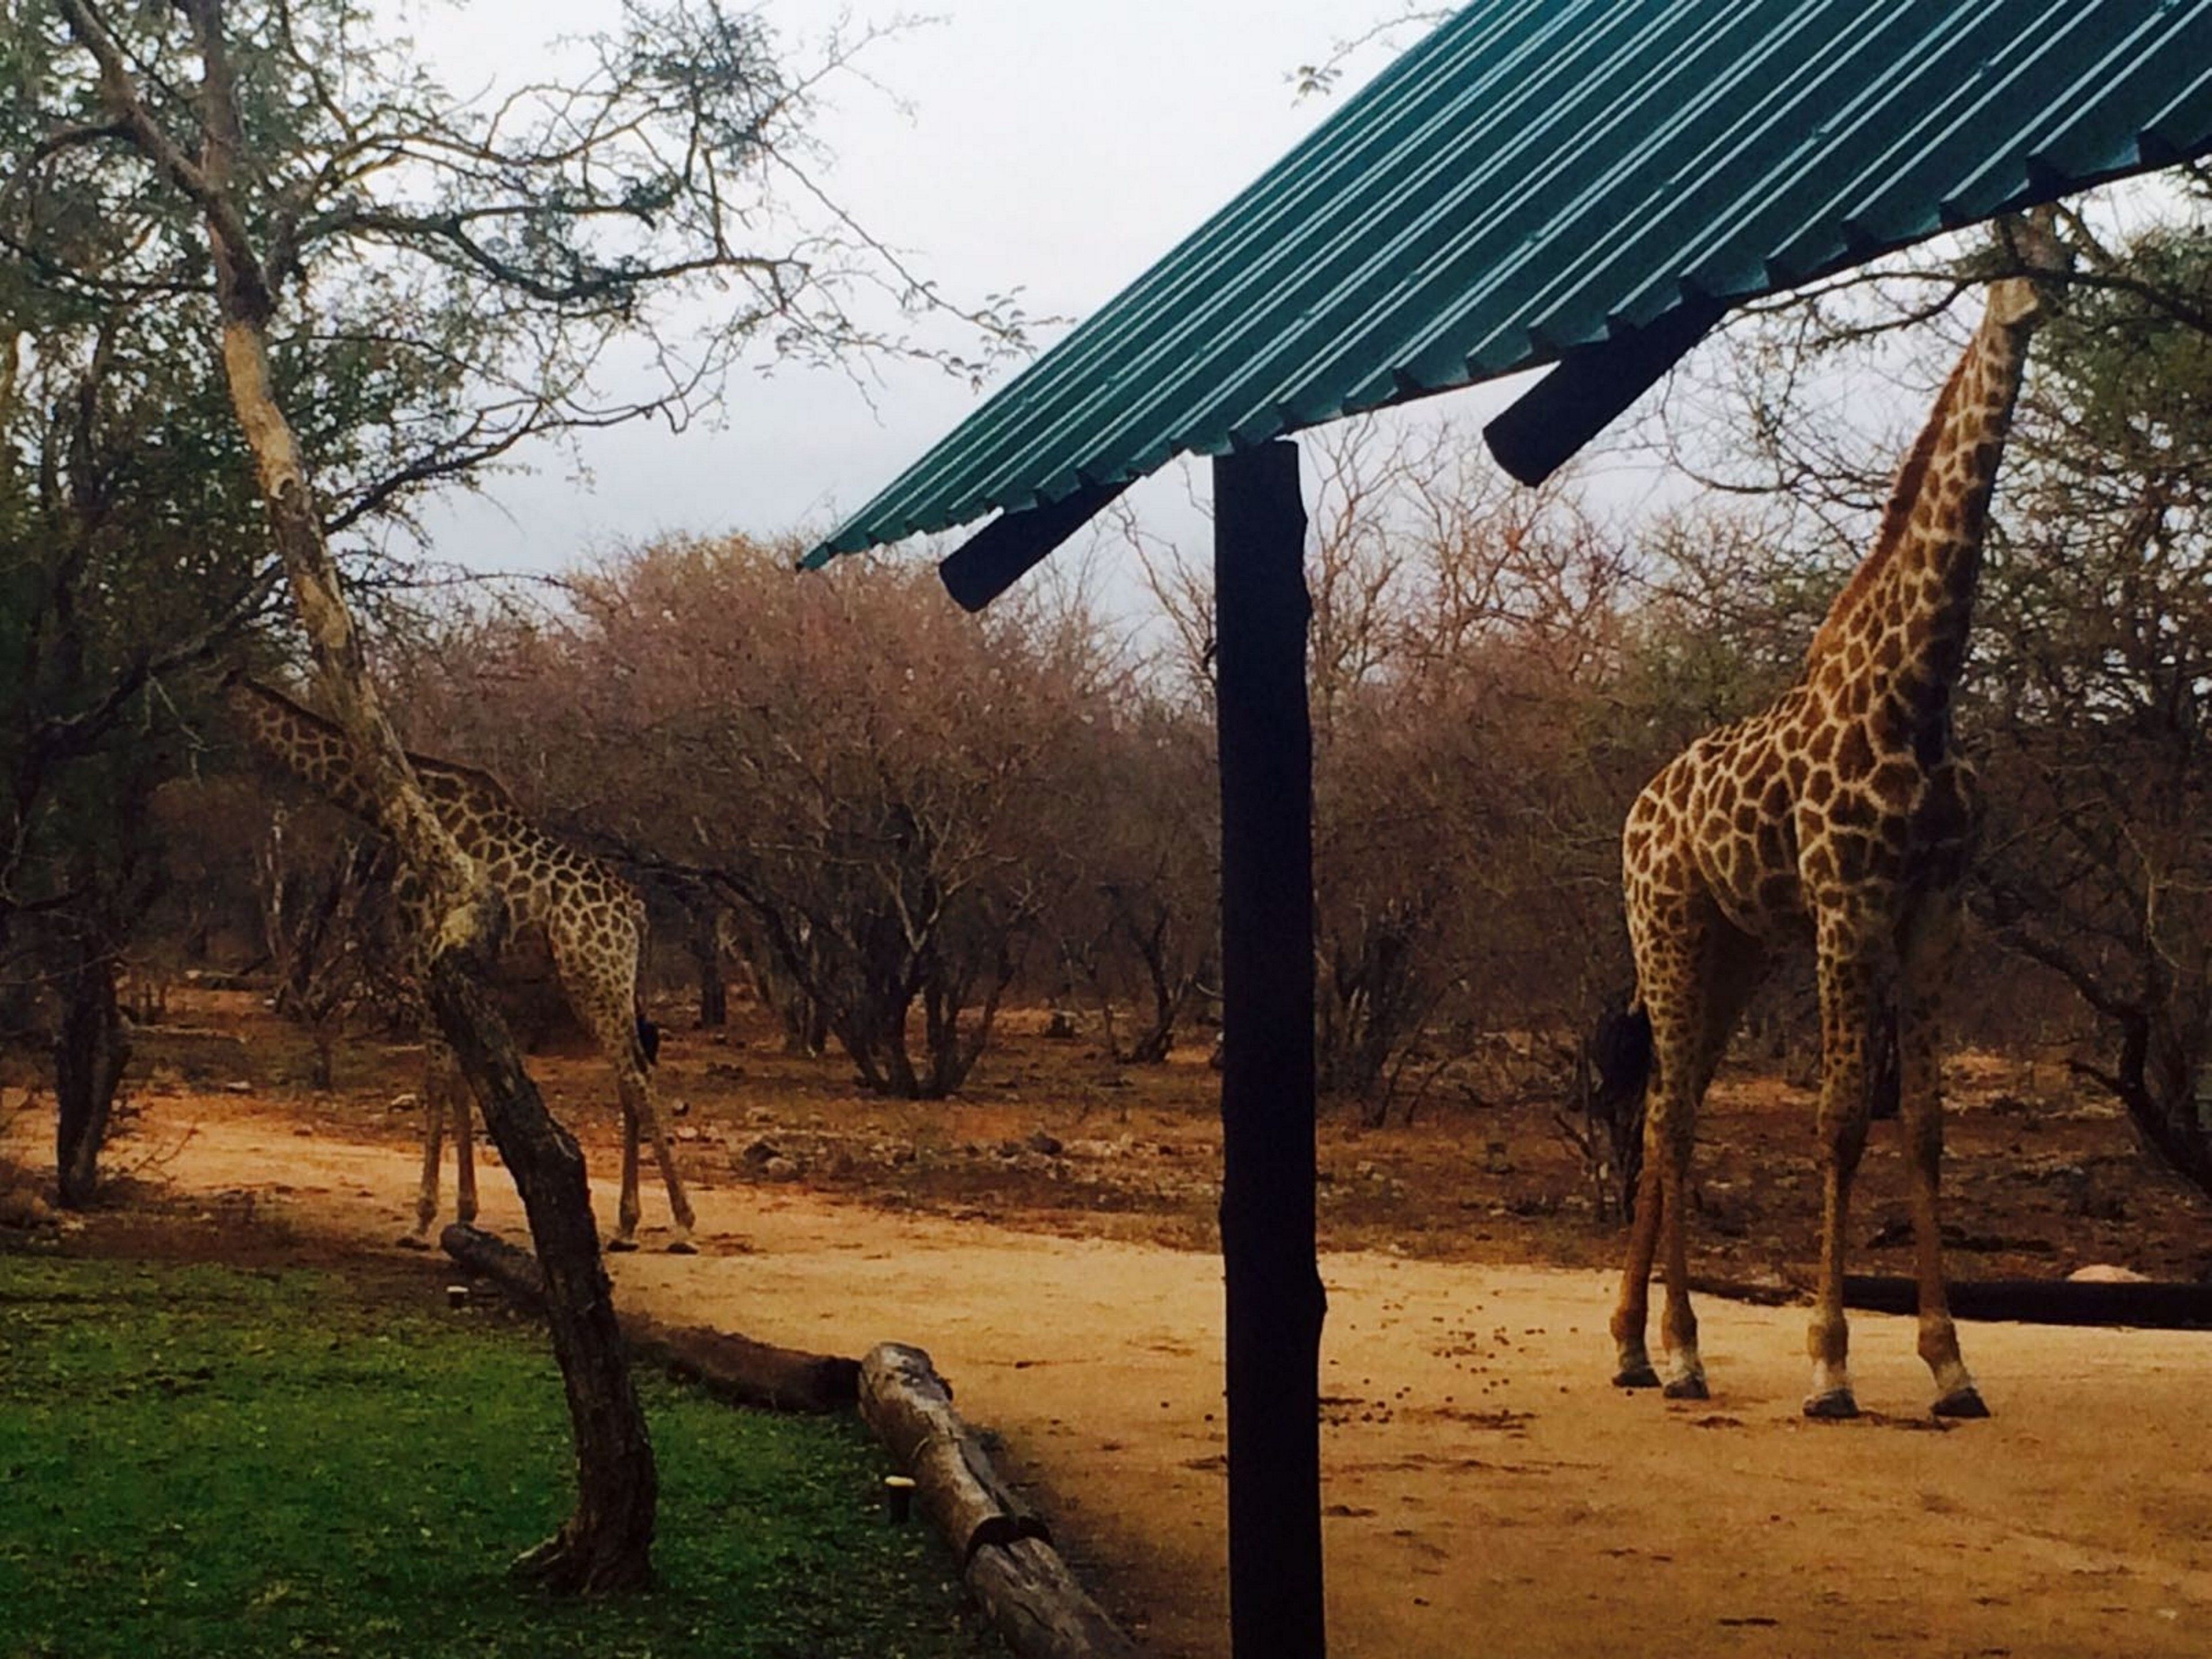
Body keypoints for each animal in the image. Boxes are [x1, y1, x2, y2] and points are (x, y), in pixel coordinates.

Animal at [227, 674, 699, 1253]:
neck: (402, 809)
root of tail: (636, 913)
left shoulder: (425, 954)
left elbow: (437, 1080)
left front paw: (422, 1218)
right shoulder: (462, 969)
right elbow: (463, 1082)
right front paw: (464, 1211)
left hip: (594, 979)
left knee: (636, 1077)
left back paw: (682, 1222)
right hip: (620, 986)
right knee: (631, 1075)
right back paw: (627, 1224)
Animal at [1610, 214, 2072, 1420]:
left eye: (2067, 238)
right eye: (2009, 250)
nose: (2050, 292)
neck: (1919, 691)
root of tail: (1635, 811)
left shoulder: (1935, 909)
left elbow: (1926, 1124)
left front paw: (1952, 1367)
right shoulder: (1848, 902)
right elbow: (1838, 1121)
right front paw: (1829, 1366)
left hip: (1735, 952)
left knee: (1668, 1106)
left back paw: (1637, 1346)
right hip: (1668, 930)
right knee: (1672, 1116)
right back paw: (1677, 1351)